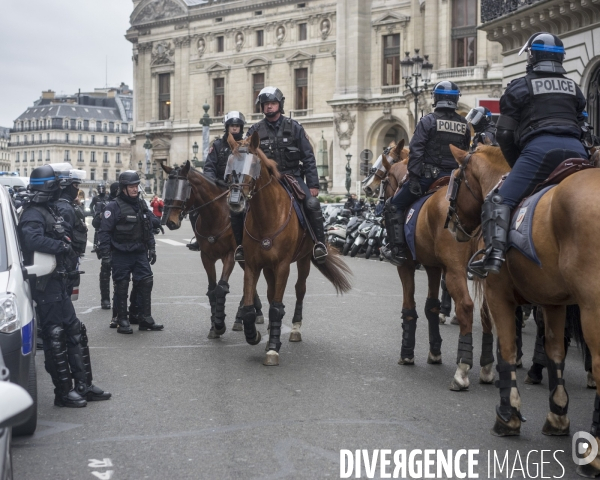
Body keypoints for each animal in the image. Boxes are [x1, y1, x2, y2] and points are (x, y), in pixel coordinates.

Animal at [159, 160, 262, 338]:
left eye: (184, 189)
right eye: (168, 187)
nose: (170, 222)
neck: (215, 215)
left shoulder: (230, 255)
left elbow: (221, 288)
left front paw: (219, 325)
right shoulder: (206, 256)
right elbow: (212, 290)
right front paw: (214, 325)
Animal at [227, 131, 354, 364]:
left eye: (253, 165)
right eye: (230, 163)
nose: (235, 201)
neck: (266, 216)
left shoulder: (283, 265)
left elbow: (277, 307)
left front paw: (272, 348)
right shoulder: (252, 265)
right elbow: (250, 307)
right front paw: (254, 335)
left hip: (303, 261)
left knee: (299, 289)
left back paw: (295, 328)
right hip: (268, 268)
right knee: (270, 293)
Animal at [364, 142, 494, 390]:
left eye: (382, 168)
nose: (367, 187)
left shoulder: (406, 265)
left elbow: (410, 306)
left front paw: (407, 353)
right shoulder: (434, 267)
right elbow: (431, 307)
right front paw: (435, 351)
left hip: (456, 271)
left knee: (466, 306)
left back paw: (462, 369)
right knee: (488, 311)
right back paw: (487, 367)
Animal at [446, 145, 600, 476]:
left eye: (454, 179)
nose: (450, 225)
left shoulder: (498, 295)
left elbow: (507, 349)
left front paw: (508, 416)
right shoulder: (554, 302)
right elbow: (555, 354)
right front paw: (557, 416)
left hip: (592, 310)